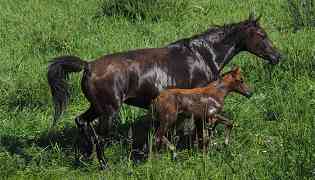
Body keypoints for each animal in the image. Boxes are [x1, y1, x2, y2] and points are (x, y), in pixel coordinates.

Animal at [47, 14, 282, 169]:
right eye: (261, 34)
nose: (278, 56)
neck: (204, 55)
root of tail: (87, 66)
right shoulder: (199, 104)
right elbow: (200, 133)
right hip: (109, 112)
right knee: (100, 137)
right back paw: (104, 165)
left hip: (96, 108)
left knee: (81, 122)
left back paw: (86, 155)